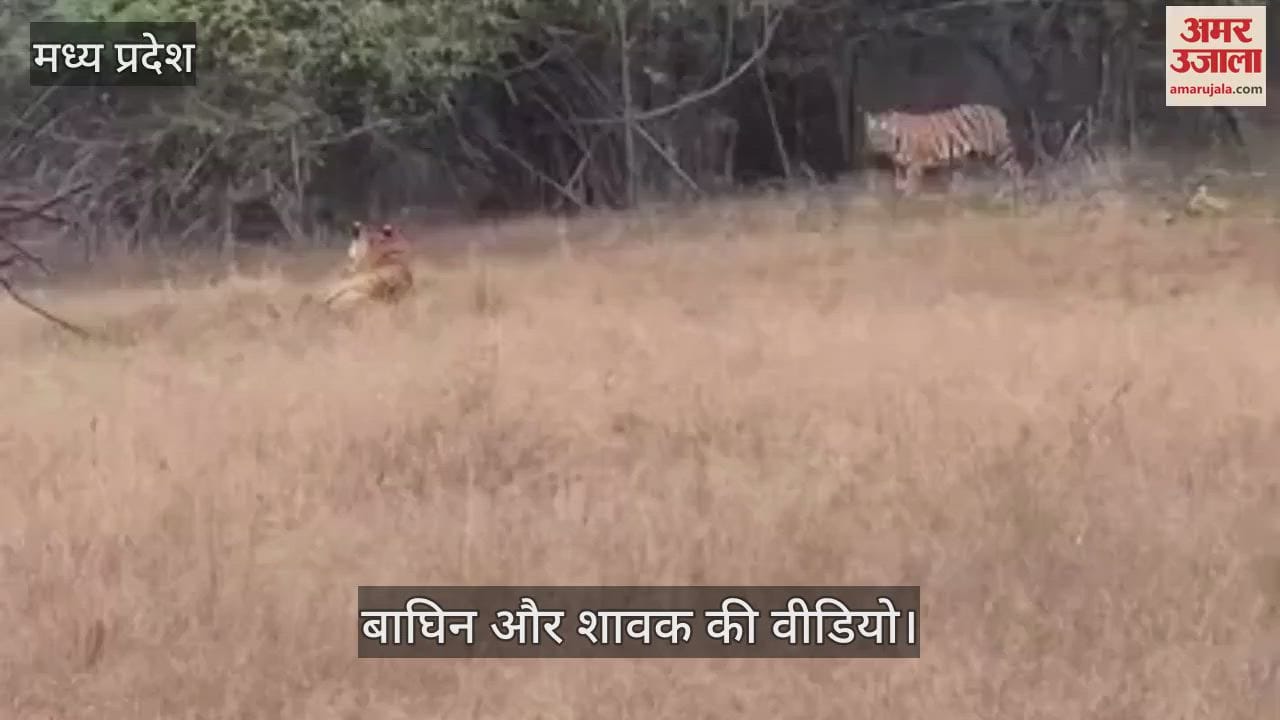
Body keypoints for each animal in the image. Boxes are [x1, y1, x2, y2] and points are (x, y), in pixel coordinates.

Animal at [863, 103, 1023, 196]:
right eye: (873, 134)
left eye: (884, 134)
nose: (878, 145)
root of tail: (996, 110)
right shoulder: (899, 164)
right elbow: (899, 183)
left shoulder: (915, 164)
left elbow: (911, 186)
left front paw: (908, 203)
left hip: (997, 149)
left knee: (1015, 168)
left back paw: (1014, 194)